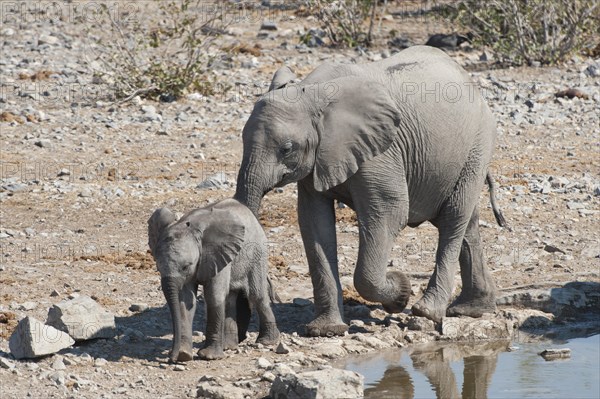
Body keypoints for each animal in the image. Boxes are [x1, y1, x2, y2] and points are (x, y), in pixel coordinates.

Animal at [150, 200, 282, 362]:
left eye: (186, 266)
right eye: (158, 267)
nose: (171, 357)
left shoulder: (217, 253)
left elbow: (213, 295)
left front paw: (209, 356)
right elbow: (184, 300)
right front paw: (183, 355)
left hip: (258, 252)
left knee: (256, 295)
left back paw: (267, 341)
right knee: (230, 299)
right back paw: (228, 346)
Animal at [234, 45, 506, 336]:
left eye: (286, 148)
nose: (270, 292)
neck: (313, 91)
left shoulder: (381, 153)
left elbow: (390, 213)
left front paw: (399, 292)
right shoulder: (317, 161)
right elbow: (314, 223)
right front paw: (327, 330)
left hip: (478, 145)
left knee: (453, 218)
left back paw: (427, 313)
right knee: (467, 224)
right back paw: (472, 308)